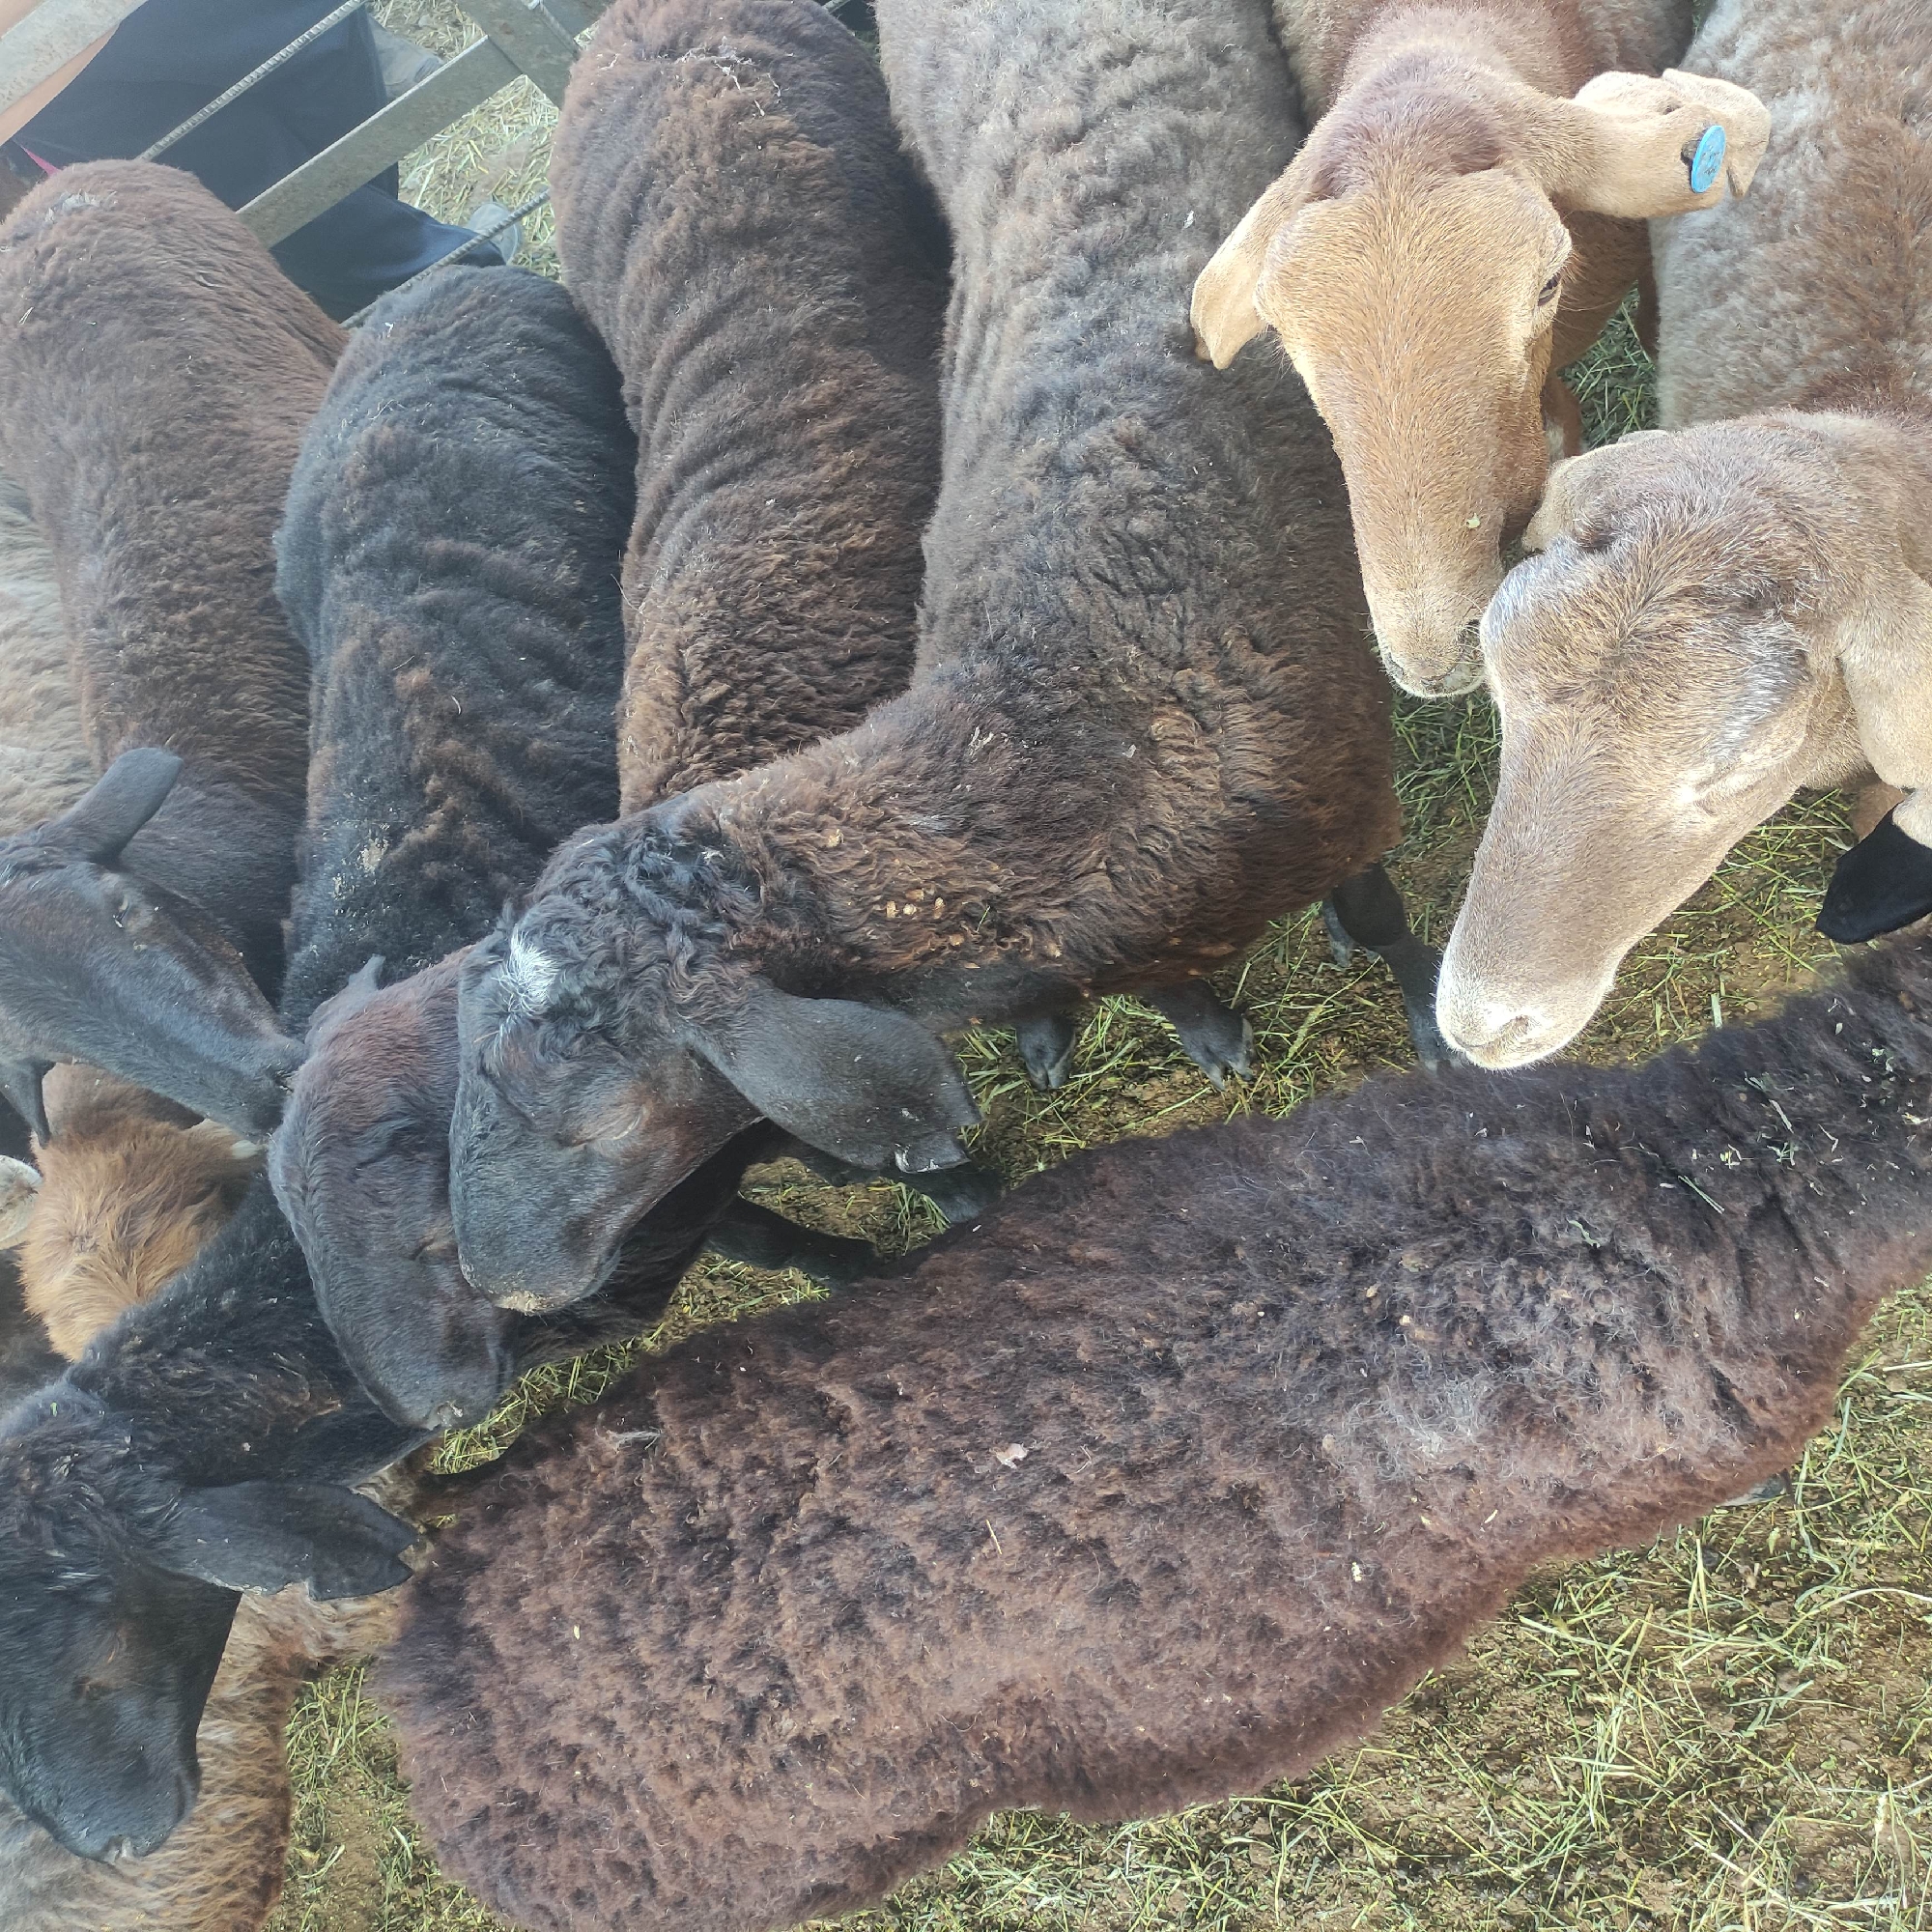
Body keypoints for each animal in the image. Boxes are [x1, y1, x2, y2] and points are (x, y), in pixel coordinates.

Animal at [448, 0, 1439, 1316]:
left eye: (592, 1090)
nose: (494, 1280)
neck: (1053, 743)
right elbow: (1156, 989)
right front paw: (1195, 1033)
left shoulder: (1342, 803)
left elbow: (1380, 924)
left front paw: (1430, 1023)